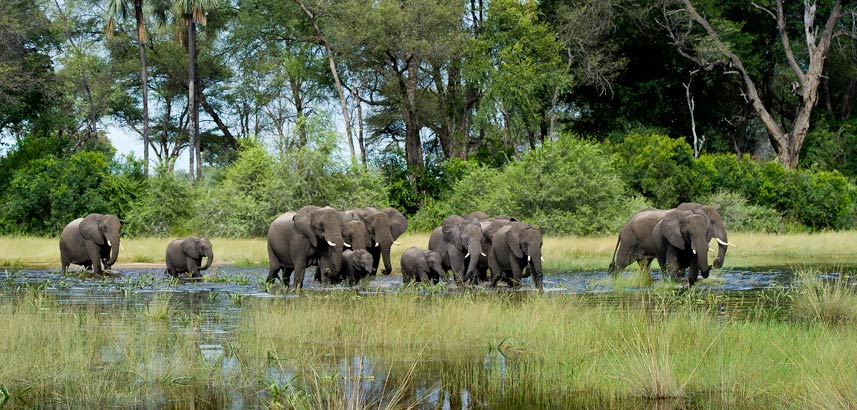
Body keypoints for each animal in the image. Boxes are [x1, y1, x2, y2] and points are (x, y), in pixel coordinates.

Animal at [604, 203, 732, 276]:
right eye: (712, 222)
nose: (715, 262)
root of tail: (622, 228)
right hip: (629, 240)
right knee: (621, 264)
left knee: (644, 264)